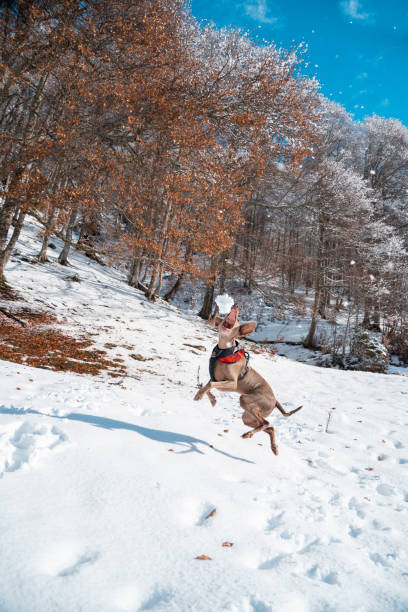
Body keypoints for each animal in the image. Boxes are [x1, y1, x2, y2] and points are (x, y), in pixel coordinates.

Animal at [194, 304, 302, 452]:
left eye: (238, 320)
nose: (235, 306)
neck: (223, 350)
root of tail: (275, 401)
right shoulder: (216, 378)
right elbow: (207, 386)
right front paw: (212, 400)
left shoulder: (232, 383)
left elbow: (209, 386)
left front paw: (199, 396)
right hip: (248, 417)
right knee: (270, 427)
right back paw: (272, 447)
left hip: (246, 400)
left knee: (266, 423)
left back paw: (250, 435)